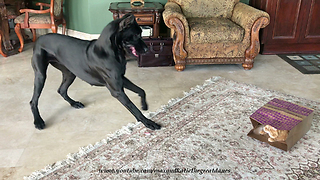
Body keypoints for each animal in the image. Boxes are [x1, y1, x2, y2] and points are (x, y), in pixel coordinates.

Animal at [30, 13, 161, 130]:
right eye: (136, 35)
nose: (147, 49)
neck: (111, 52)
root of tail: (39, 39)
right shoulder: (117, 90)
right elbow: (133, 108)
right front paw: (148, 122)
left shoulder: (121, 79)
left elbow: (141, 90)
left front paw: (144, 105)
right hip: (41, 75)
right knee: (33, 101)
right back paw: (38, 121)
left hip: (70, 73)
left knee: (61, 90)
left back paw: (74, 103)